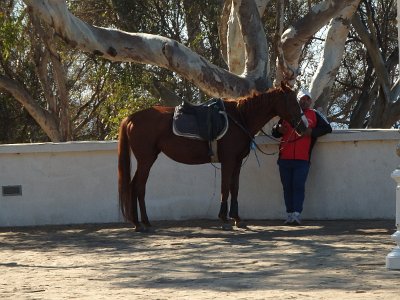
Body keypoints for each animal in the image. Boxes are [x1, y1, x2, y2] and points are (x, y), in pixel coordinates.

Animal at [117, 83, 308, 231]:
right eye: (292, 101)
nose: (304, 126)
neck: (240, 118)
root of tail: (131, 118)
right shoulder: (228, 161)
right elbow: (225, 188)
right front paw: (224, 219)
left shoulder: (237, 162)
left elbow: (234, 188)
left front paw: (237, 218)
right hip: (146, 160)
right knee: (138, 187)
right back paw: (141, 223)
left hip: (147, 160)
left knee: (137, 187)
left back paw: (143, 223)